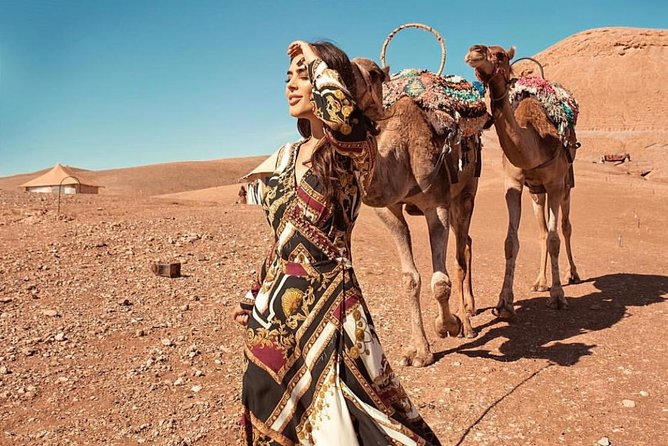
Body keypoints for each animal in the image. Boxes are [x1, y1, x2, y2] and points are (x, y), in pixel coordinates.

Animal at [352, 59, 482, 367]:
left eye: (373, 73)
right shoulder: (388, 209)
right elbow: (410, 278)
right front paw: (418, 351)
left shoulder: (438, 205)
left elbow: (441, 281)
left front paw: (448, 325)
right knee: (467, 244)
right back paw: (469, 309)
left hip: (466, 193)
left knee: (460, 255)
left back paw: (468, 324)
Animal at [464, 45, 581, 319]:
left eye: (500, 54)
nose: (474, 51)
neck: (535, 142)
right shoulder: (513, 185)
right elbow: (511, 242)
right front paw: (503, 303)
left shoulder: (555, 185)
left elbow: (555, 239)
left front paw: (558, 297)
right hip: (537, 193)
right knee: (542, 232)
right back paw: (540, 282)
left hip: (565, 187)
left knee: (565, 227)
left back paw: (572, 274)